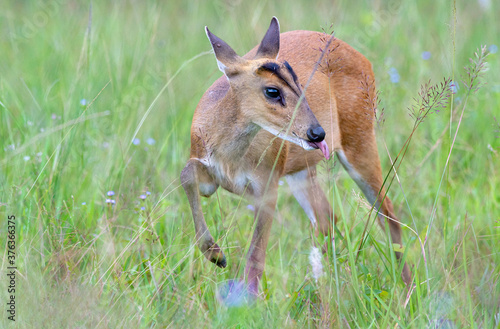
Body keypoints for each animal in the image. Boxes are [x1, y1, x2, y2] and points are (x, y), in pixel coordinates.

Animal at [182, 17, 412, 294]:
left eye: (299, 84)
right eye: (272, 91)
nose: (318, 133)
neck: (231, 160)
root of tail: (364, 60)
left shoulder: (268, 184)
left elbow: (256, 254)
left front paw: (247, 296)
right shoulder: (210, 175)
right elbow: (187, 175)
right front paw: (216, 254)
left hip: (360, 141)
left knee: (388, 216)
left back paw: (408, 290)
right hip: (302, 170)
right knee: (328, 219)